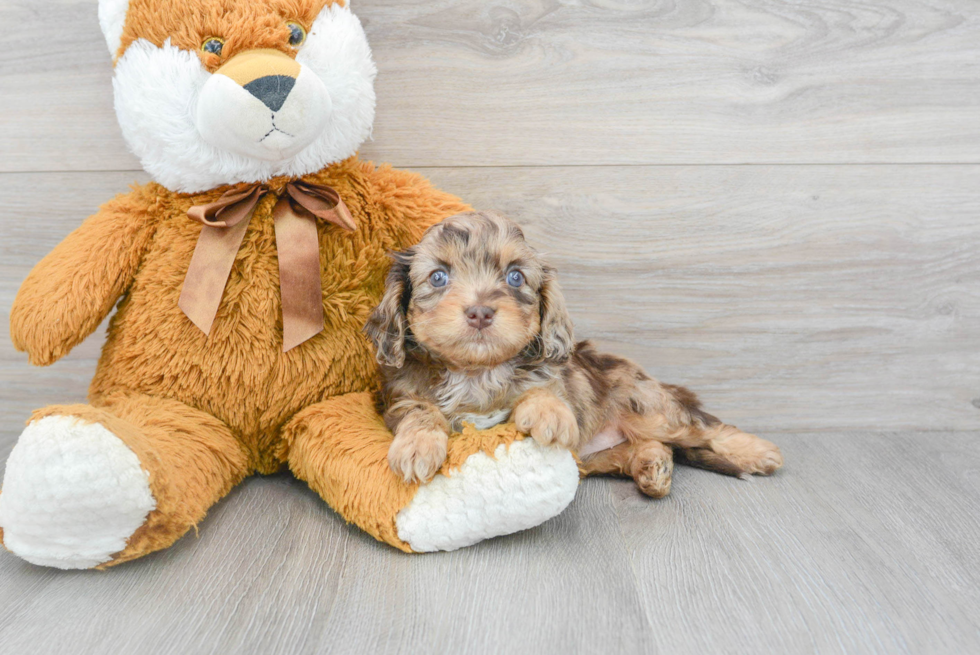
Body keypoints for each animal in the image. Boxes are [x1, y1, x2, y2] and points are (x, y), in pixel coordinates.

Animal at [364, 213, 784, 494]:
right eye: (438, 277)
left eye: (515, 276)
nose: (480, 312)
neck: (476, 371)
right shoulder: (399, 397)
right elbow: (419, 410)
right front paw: (418, 445)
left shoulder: (555, 377)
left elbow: (544, 386)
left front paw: (548, 411)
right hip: (593, 457)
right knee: (647, 448)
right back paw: (653, 465)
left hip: (650, 406)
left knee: (702, 427)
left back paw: (758, 450)